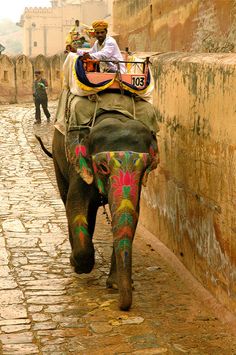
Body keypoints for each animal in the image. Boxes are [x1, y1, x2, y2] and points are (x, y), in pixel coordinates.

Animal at [37, 109, 159, 312]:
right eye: (102, 167)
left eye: (145, 168)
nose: (123, 307)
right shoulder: (79, 165)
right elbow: (75, 204)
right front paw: (79, 265)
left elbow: (134, 212)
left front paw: (115, 284)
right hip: (58, 161)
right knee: (67, 201)